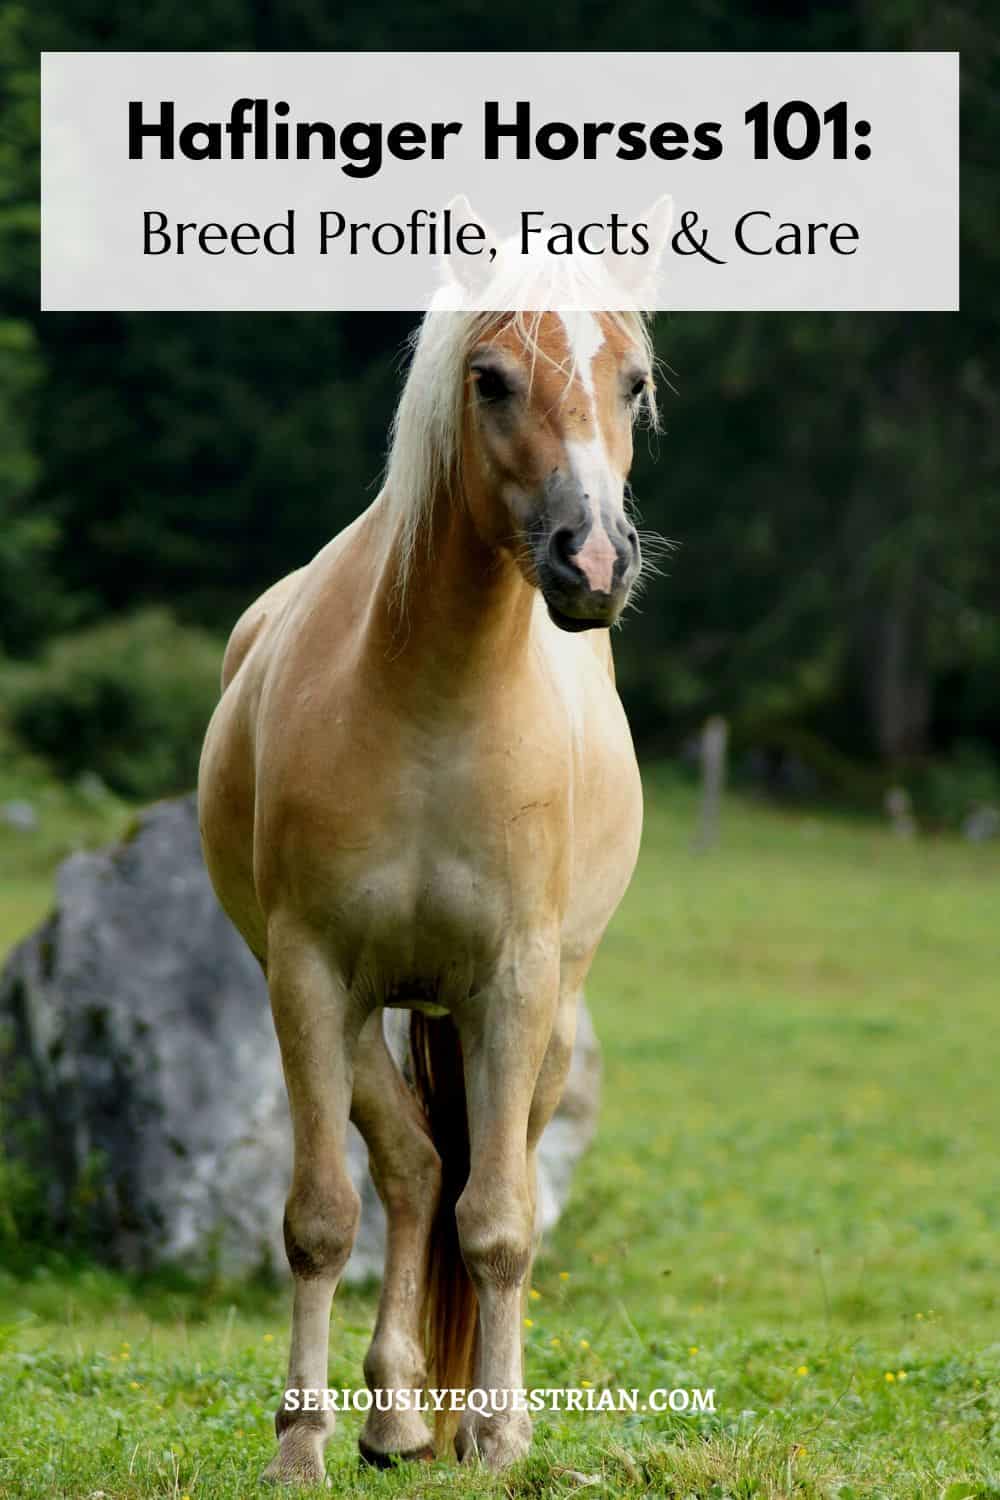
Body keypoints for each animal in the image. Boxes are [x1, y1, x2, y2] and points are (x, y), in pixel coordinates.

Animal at [198, 226, 668, 1483]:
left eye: (633, 384)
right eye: (491, 379)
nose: (590, 562)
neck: (430, 706)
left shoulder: (513, 982)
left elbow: (498, 1222)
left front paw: (500, 1440)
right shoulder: (310, 976)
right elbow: (324, 1217)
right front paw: (298, 1446)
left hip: (548, 1015)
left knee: (480, 1177)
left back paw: (455, 1417)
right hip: (366, 1011)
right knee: (410, 1171)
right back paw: (397, 1416)